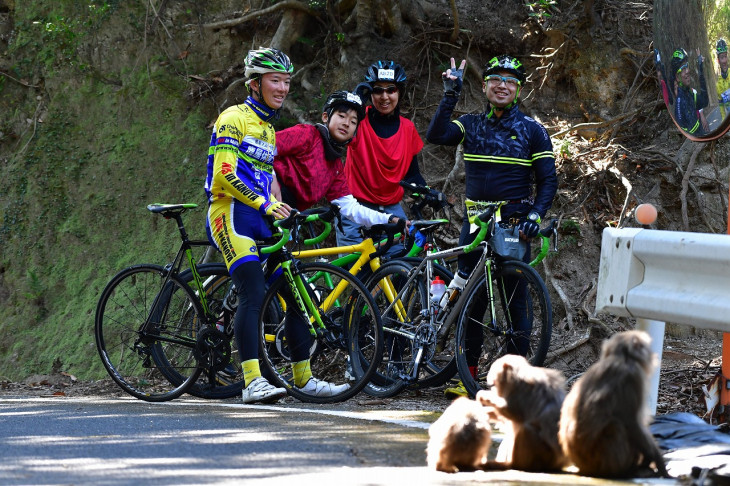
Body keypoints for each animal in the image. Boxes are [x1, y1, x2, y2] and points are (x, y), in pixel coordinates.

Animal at [556, 330, 672, 478]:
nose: (652, 354)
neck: (621, 358)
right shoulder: (633, 376)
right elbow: (632, 423)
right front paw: (655, 459)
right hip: (603, 460)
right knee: (616, 425)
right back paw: (631, 470)